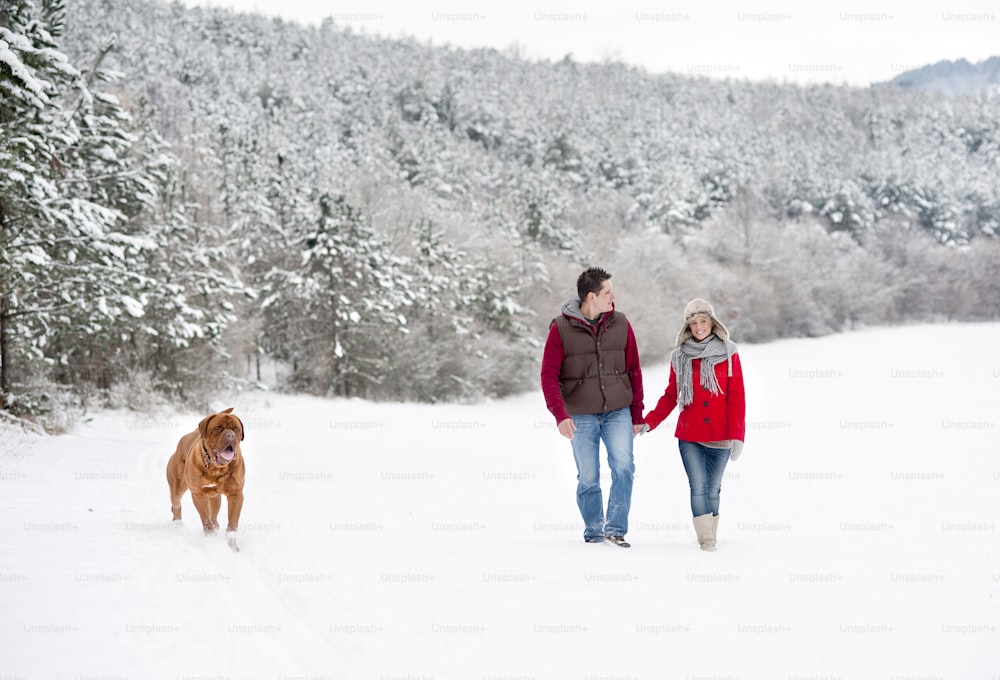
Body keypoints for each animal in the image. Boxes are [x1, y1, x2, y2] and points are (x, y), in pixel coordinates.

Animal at [166, 406, 246, 548]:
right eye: (218, 428)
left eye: (236, 428)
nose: (230, 435)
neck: (216, 468)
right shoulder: (199, 495)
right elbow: (206, 521)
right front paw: (211, 540)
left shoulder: (236, 495)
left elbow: (232, 525)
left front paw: (232, 547)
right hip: (176, 488)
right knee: (176, 505)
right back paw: (177, 525)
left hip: (215, 497)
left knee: (213, 514)